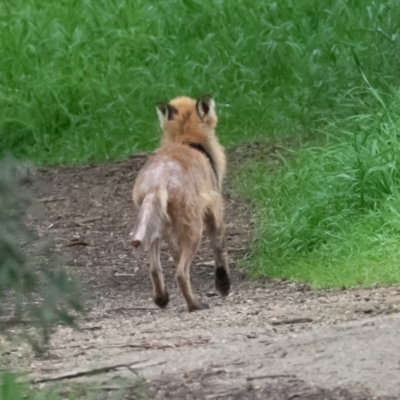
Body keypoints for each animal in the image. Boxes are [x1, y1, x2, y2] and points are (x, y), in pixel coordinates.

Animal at [131, 95, 231, 310]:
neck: (185, 141)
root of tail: (158, 180)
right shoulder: (215, 211)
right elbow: (220, 251)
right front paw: (223, 286)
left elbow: (175, 257)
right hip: (194, 231)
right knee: (181, 274)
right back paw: (195, 305)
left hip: (156, 229)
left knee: (155, 269)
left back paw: (161, 299)